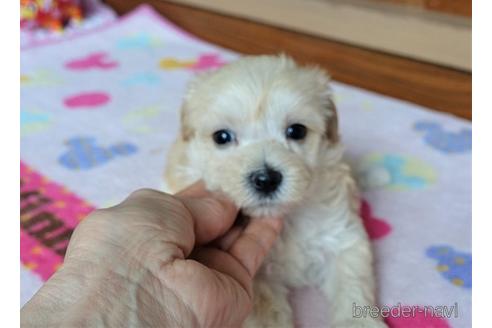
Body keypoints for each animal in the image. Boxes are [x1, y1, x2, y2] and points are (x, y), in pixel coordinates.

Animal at [163, 55, 386, 326]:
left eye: (297, 131)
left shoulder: (342, 238)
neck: (287, 219)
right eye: (222, 137)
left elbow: (352, 284)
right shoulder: (255, 273)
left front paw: (360, 323)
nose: (266, 179)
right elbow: (266, 307)